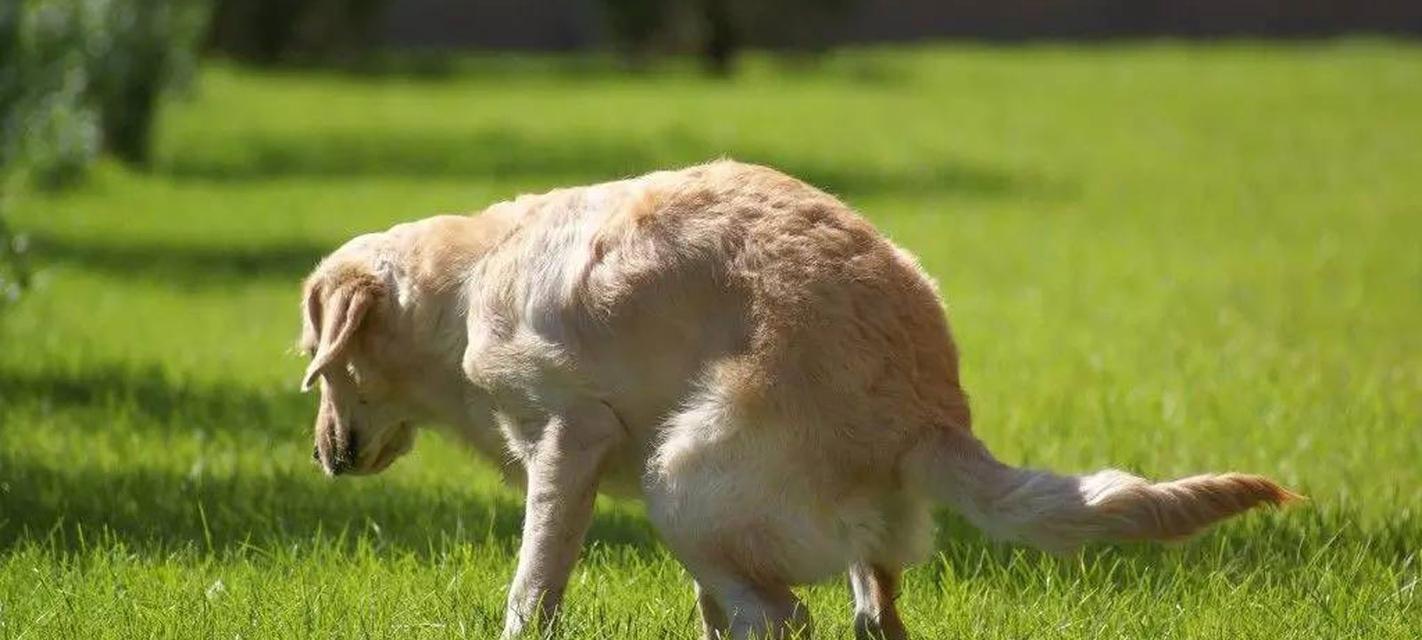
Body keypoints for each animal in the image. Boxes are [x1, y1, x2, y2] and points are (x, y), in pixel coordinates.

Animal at [300, 161, 1302, 640]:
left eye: (319, 359)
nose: (321, 456)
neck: (463, 287)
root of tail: (930, 410)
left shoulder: (569, 441)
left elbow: (532, 587)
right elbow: (701, 610)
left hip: (679, 482)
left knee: (787, 616)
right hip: (766, 518)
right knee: (865, 611)